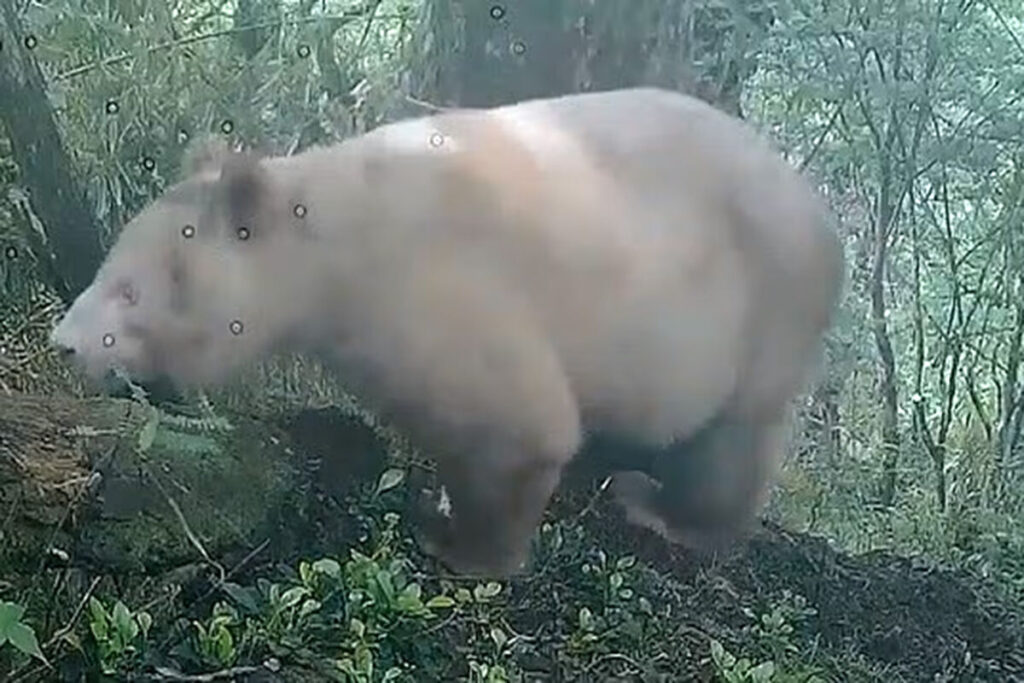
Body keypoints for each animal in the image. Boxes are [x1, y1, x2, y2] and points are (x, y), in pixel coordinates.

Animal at [50, 87, 844, 576]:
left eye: (128, 289)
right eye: (108, 264)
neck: (332, 237)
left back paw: (662, 507)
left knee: (730, 438)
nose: (64, 343)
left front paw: (458, 541)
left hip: (761, 308)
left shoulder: (429, 285)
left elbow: (515, 422)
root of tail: (824, 220)